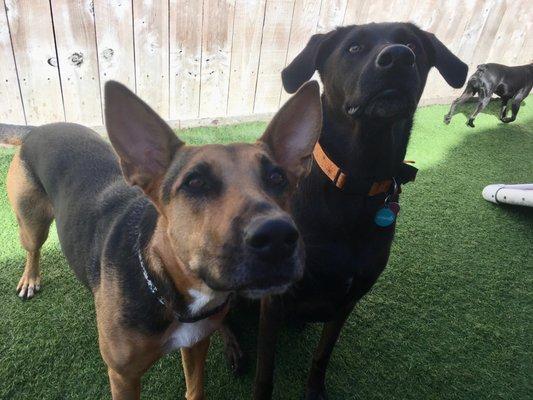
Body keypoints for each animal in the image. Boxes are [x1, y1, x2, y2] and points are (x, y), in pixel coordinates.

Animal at [1, 79, 320, 398]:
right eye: (195, 182)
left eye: (277, 178)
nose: (277, 236)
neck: (171, 291)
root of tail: (38, 129)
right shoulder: (123, 376)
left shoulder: (196, 343)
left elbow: (195, 389)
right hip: (32, 223)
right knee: (32, 249)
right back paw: (30, 278)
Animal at [220, 22, 466, 400]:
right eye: (353, 48)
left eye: (412, 45)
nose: (398, 57)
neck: (357, 183)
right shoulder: (274, 299)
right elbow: (266, 370)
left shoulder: (349, 299)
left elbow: (323, 353)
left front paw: (314, 390)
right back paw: (233, 348)